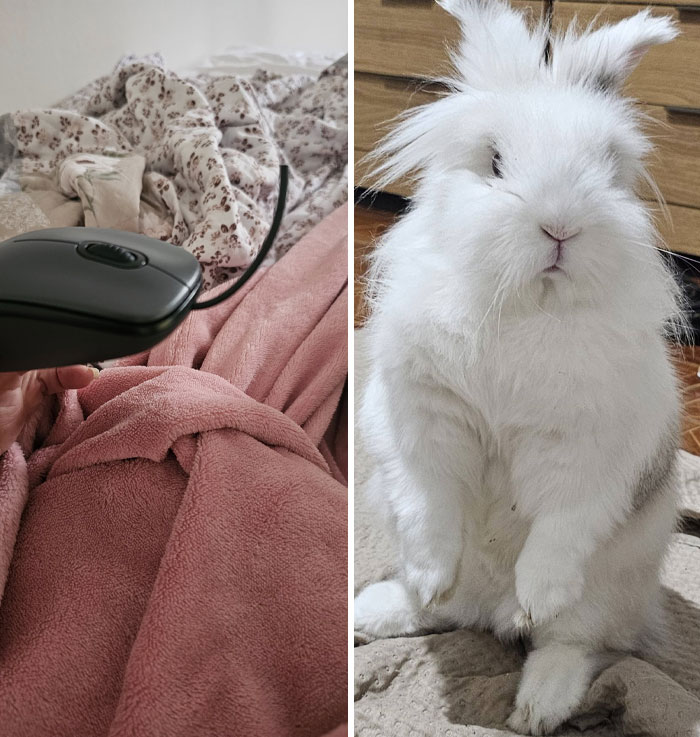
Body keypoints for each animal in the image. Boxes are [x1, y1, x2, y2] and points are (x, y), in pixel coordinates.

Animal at [353, 1, 683, 734]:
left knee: (577, 643)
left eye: (607, 166)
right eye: (496, 161)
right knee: (446, 611)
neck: (525, 305)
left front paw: (538, 592)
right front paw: (428, 571)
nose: (560, 227)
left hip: (610, 591)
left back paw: (538, 700)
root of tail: (490, 612)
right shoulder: (422, 413)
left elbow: (562, 522)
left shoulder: (586, 447)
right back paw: (384, 607)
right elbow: (430, 499)